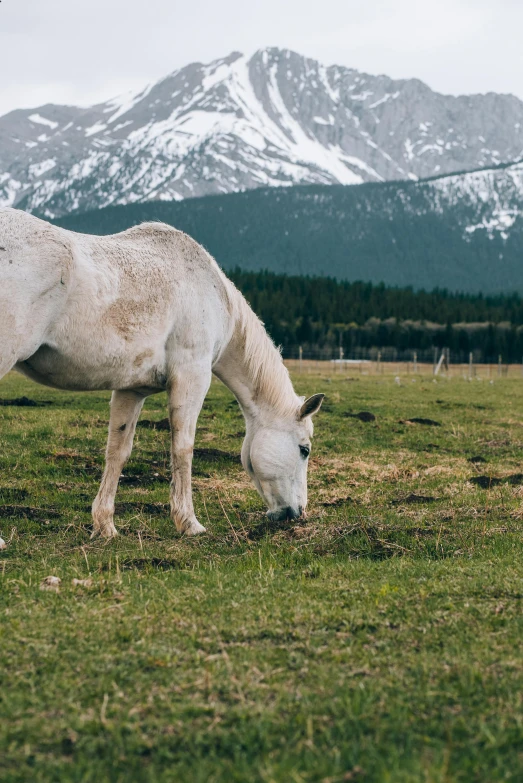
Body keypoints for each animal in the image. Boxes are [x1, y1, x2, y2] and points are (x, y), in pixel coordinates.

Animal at [0, 208, 324, 540]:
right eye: (304, 450)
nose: (296, 513)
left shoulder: (131, 390)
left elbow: (118, 451)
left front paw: (105, 525)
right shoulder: (191, 377)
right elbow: (183, 448)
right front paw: (188, 522)